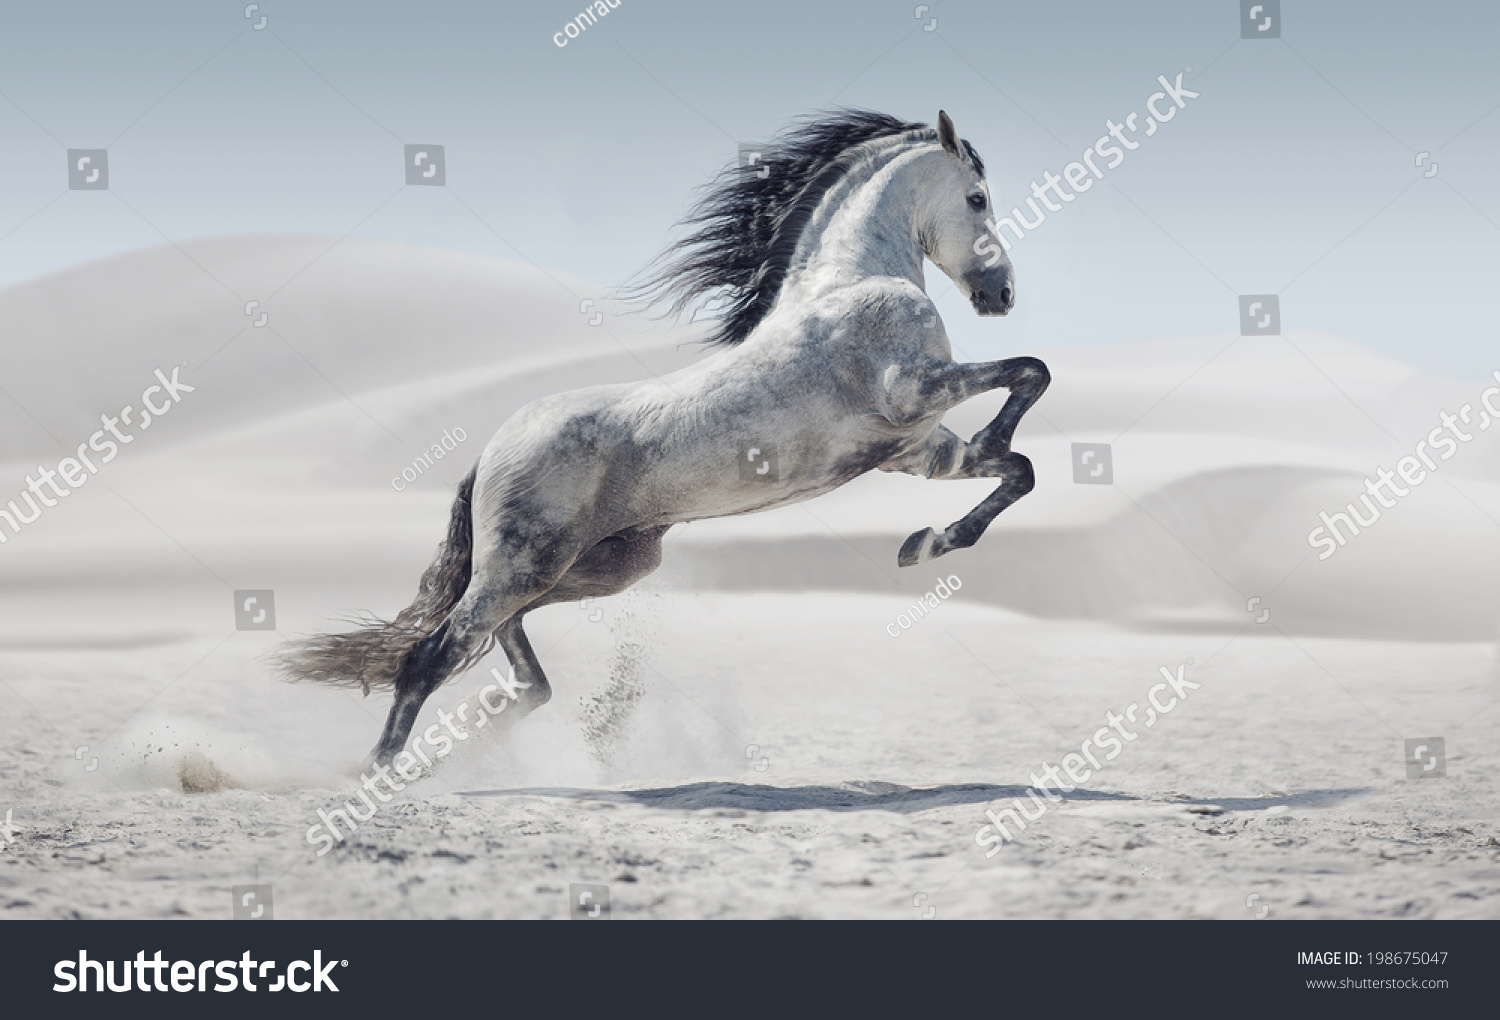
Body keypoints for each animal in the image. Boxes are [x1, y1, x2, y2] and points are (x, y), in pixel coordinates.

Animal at [277, 109, 1049, 766]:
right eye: (977, 198)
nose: (1002, 296)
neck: (851, 283)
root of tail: (491, 451)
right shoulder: (913, 390)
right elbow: (1029, 374)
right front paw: (951, 503)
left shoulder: (917, 451)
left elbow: (1018, 467)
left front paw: (926, 543)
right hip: (523, 566)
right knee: (431, 656)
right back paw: (382, 775)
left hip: (597, 567)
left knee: (515, 660)